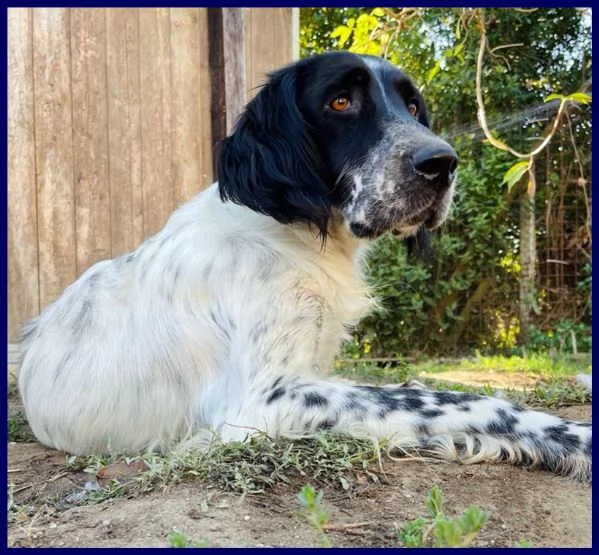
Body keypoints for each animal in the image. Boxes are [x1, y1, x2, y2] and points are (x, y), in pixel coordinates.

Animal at [16, 51, 592, 482]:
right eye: (340, 101)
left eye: (411, 106)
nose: (442, 163)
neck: (291, 232)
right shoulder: (262, 399)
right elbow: (468, 401)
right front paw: (575, 439)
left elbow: (422, 392)